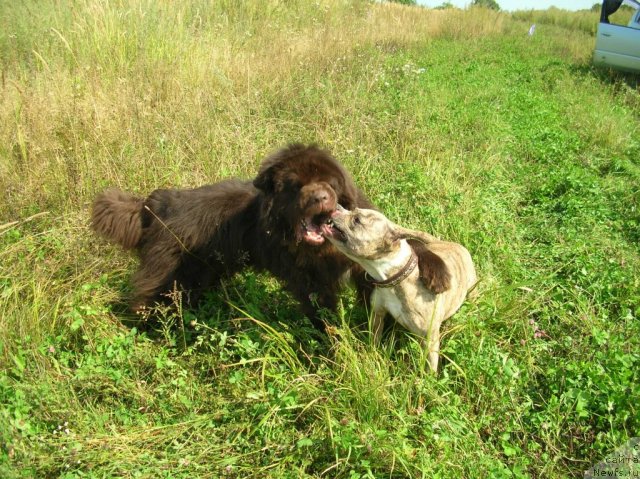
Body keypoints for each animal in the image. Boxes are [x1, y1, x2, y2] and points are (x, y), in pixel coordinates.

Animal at [92, 143, 448, 330]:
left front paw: (438, 272)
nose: (320, 197)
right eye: (295, 185)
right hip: (171, 273)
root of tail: (154, 204)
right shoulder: (308, 280)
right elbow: (323, 312)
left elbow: (411, 244)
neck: (323, 248)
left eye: (329, 183)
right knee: (148, 299)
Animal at [320, 204, 476, 374]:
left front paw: (428, 380)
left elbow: (430, 366)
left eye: (357, 220)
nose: (336, 207)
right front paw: (373, 355)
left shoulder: (429, 339)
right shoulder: (377, 315)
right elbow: (374, 339)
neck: (393, 278)